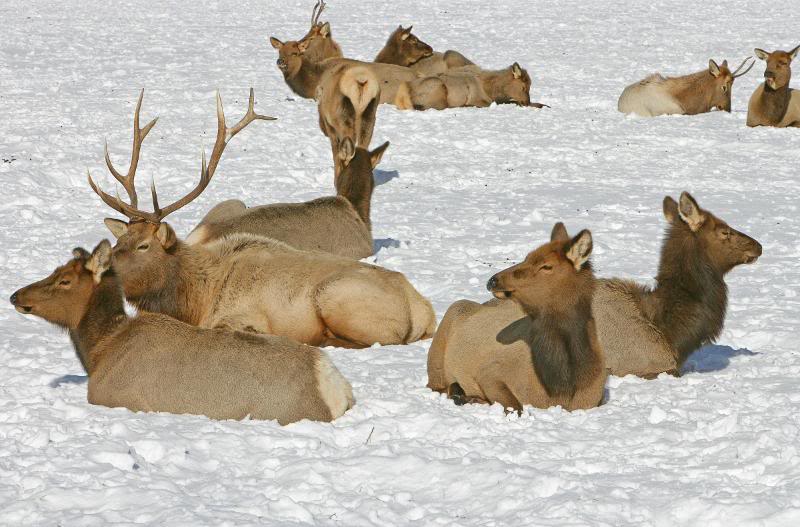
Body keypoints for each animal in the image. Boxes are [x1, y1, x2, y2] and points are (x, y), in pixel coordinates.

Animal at [10, 240, 354, 425]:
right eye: (56, 270)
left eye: (65, 280)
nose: (15, 295)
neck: (101, 351)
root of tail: (335, 390)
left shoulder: (119, 398)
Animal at [427, 224, 606, 412]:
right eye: (527, 257)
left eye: (546, 266)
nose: (493, 280)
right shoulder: (489, 372)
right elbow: (515, 407)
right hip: (441, 343)